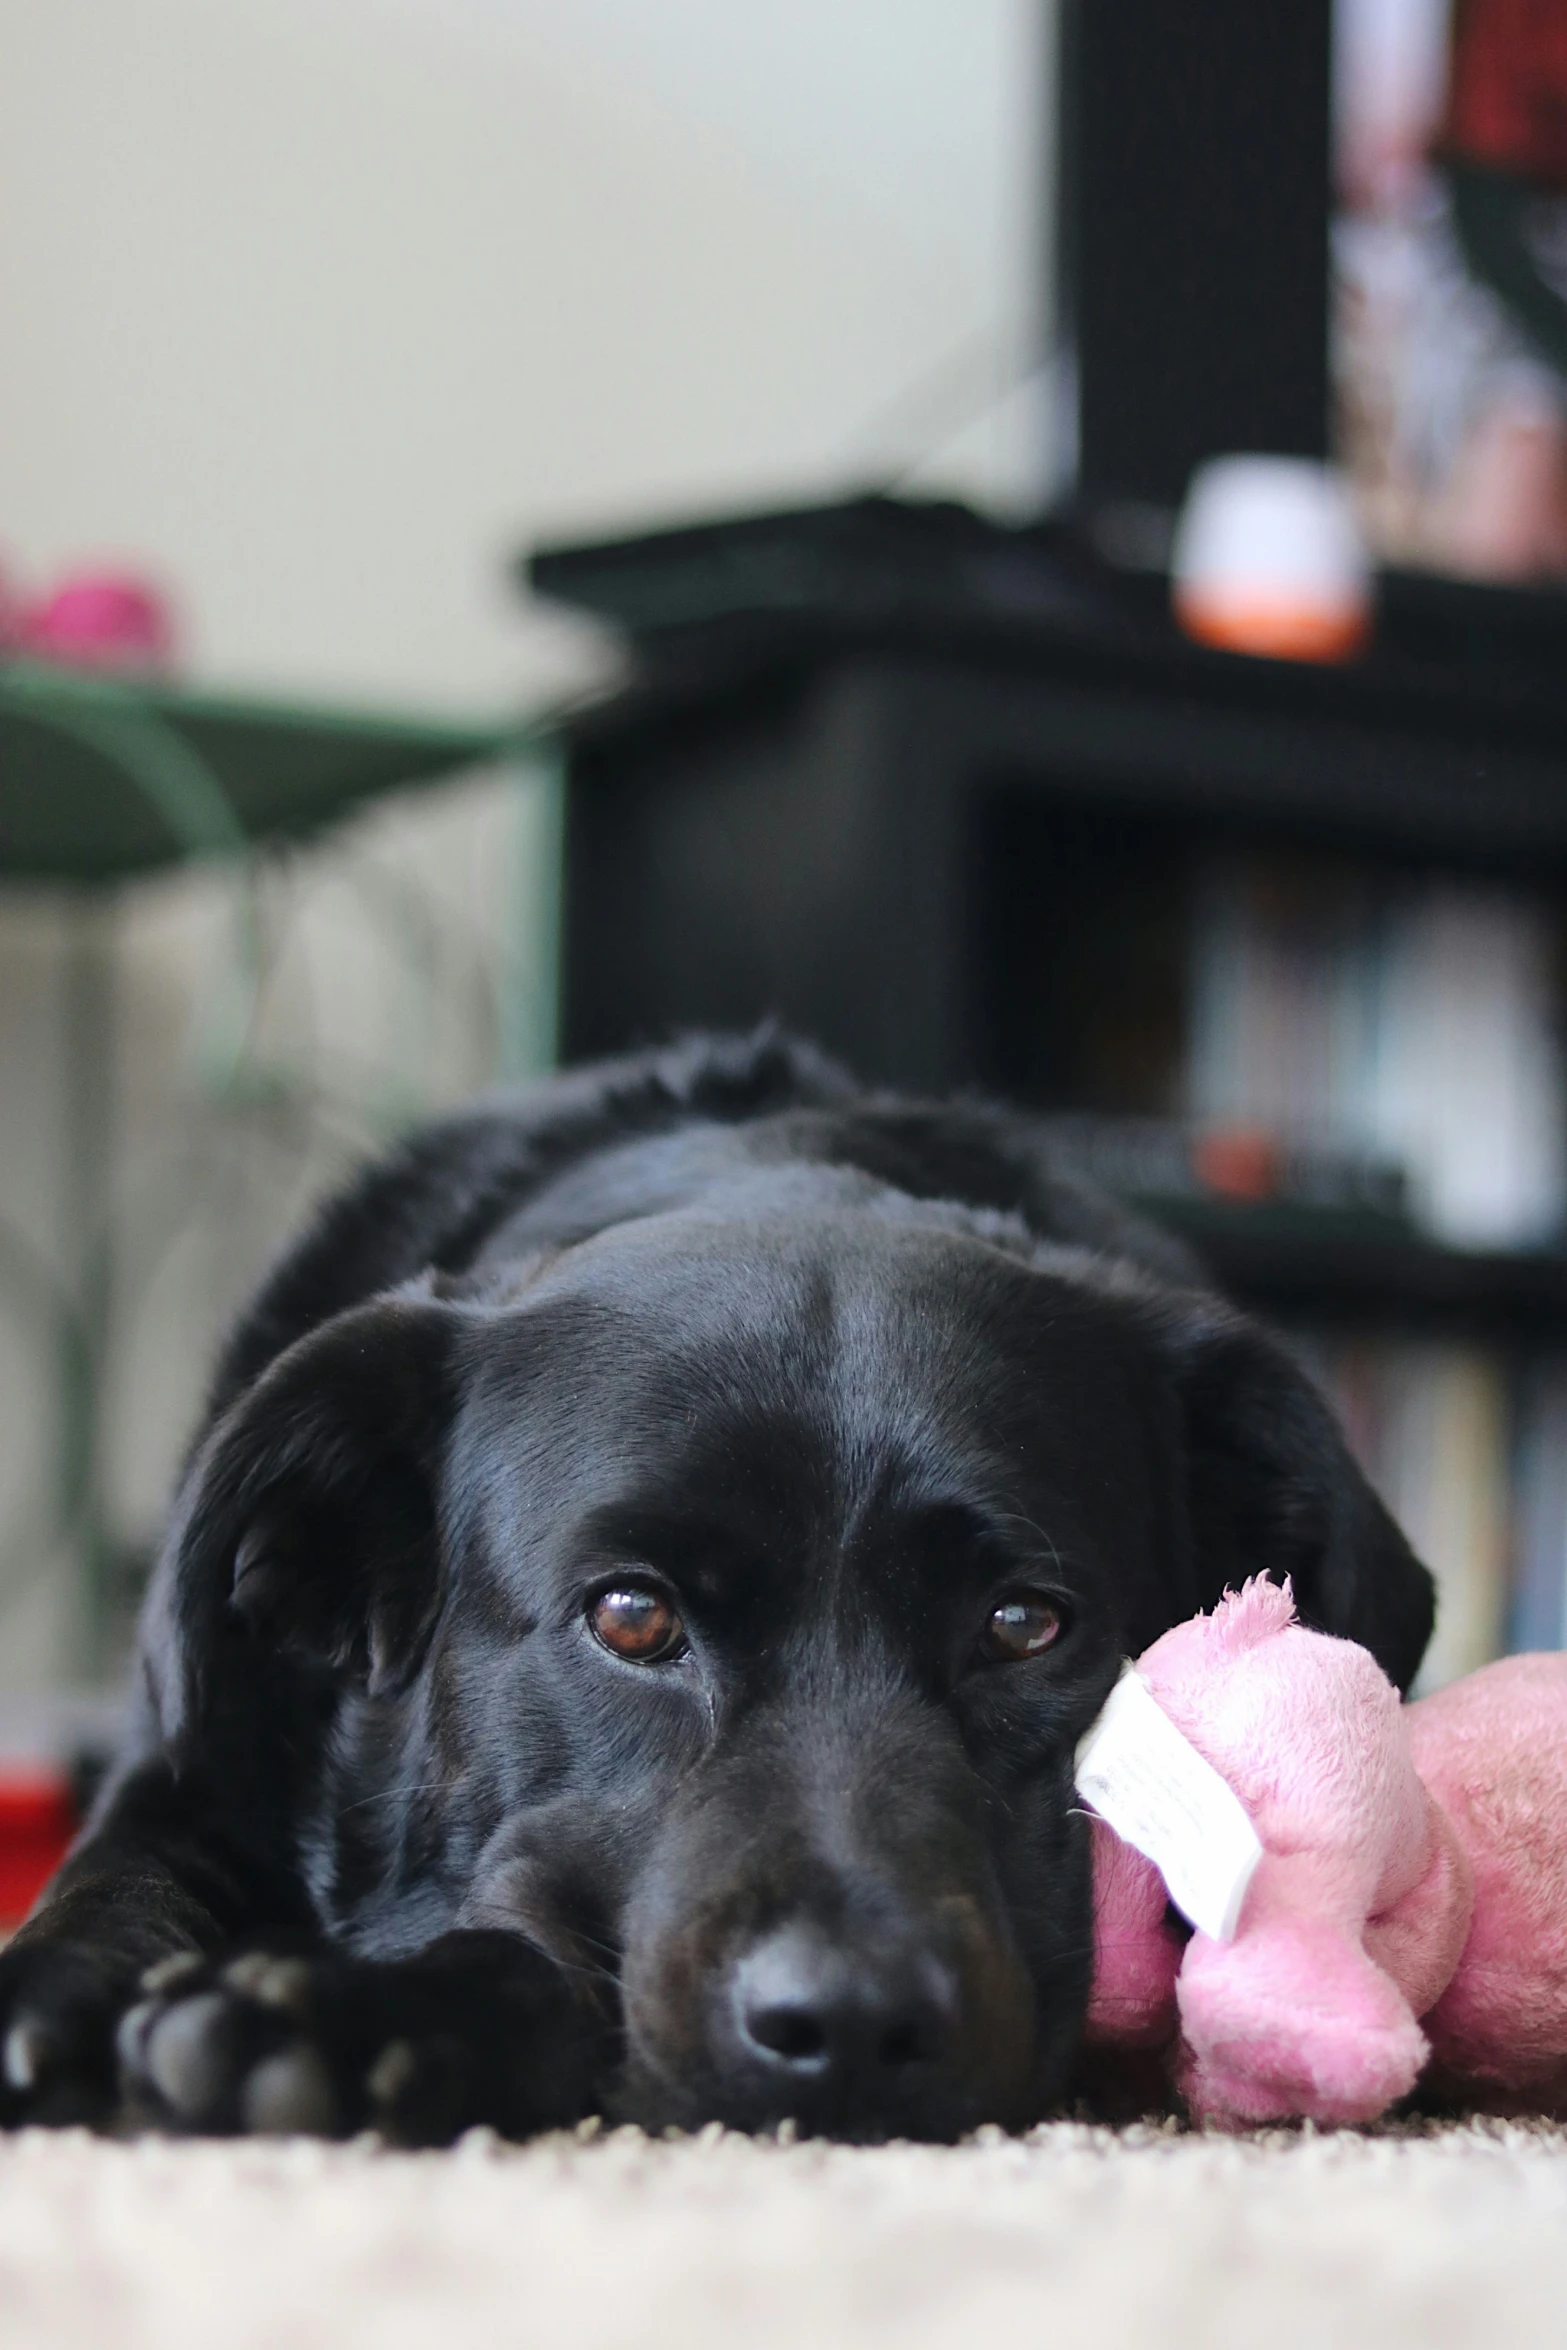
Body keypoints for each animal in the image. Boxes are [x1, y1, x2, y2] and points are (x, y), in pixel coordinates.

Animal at [0, 1038, 1437, 2143]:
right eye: (631, 1616)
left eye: (1023, 1624)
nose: (851, 2024)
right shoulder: (187, 1767)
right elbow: (123, 1878)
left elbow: (541, 1964)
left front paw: (349, 2016)